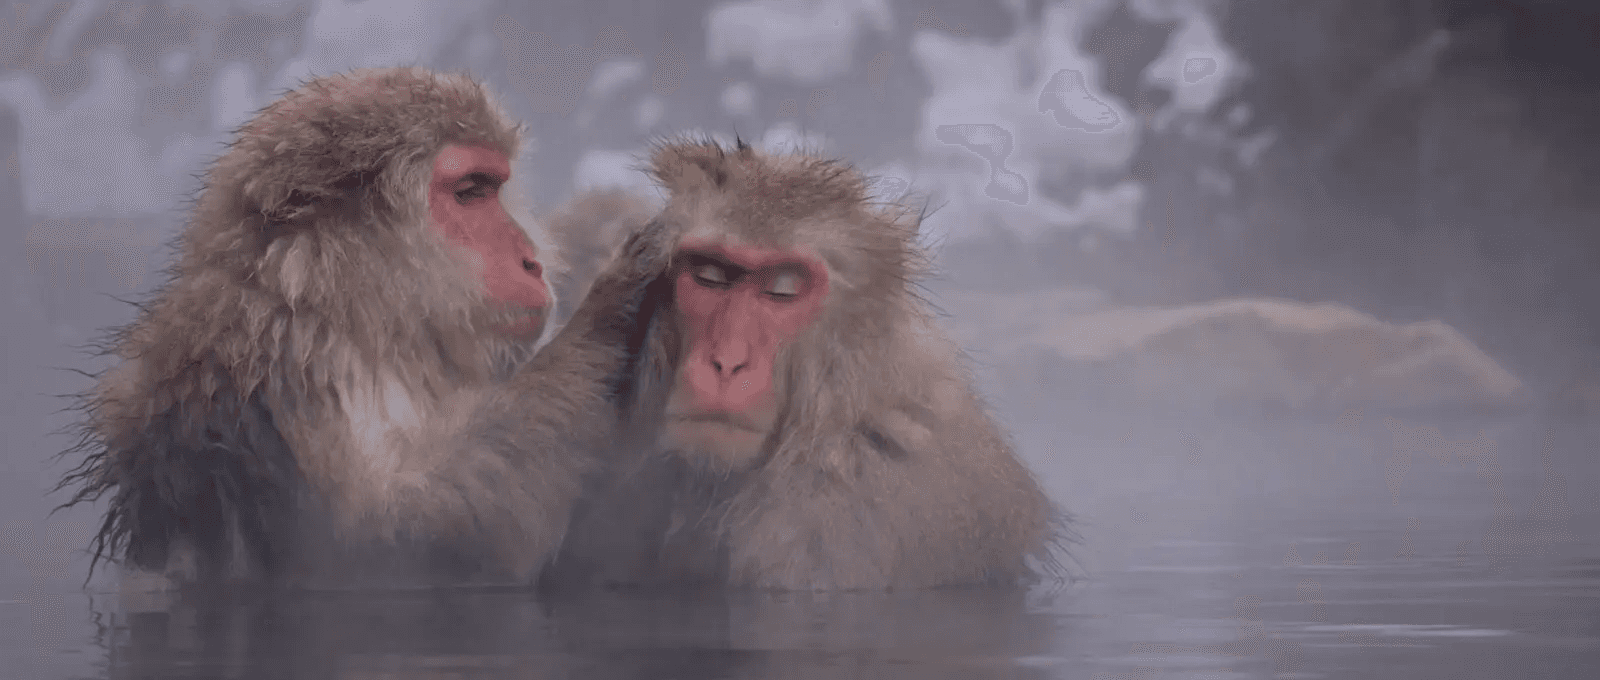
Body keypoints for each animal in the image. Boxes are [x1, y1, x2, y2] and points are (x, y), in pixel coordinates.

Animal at [53, 67, 673, 590]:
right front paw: (611, 303)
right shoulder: (289, 370)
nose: (532, 261)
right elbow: (400, 546)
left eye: (494, 187)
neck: (356, 316)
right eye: (470, 191)